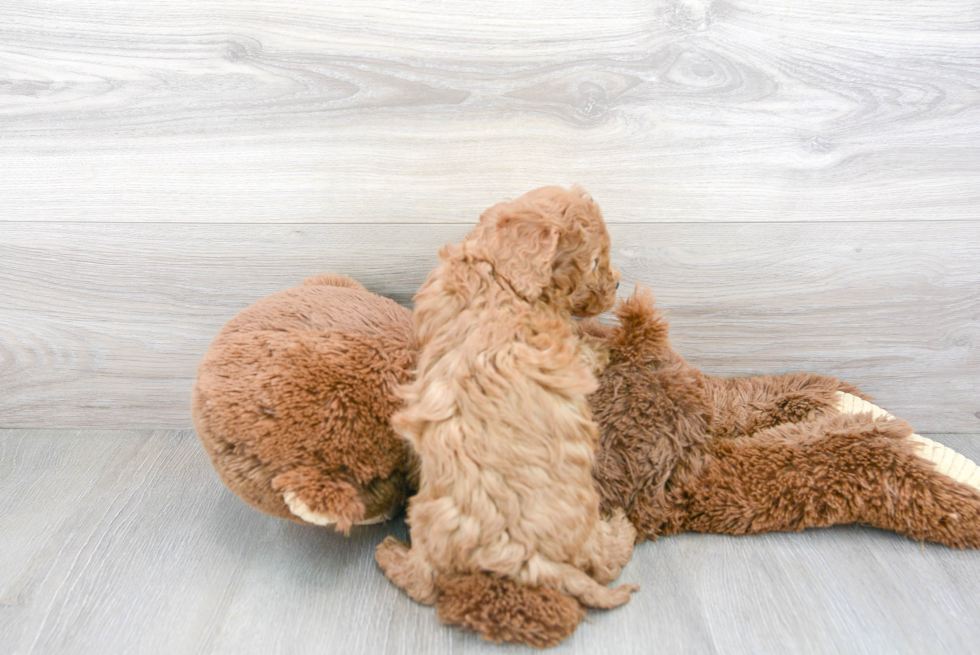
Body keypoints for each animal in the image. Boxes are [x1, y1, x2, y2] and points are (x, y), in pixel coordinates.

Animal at [372, 184, 640, 608]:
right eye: (596, 261)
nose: (617, 284)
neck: (498, 273)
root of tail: (519, 554)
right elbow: (584, 352)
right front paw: (602, 348)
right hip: (583, 515)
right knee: (601, 563)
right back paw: (621, 531)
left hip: (430, 515)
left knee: (423, 581)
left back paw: (392, 556)